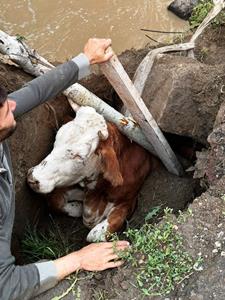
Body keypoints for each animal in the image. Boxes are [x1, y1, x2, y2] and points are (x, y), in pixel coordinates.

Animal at [27, 106, 155, 243]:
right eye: (57, 138)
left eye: (79, 156)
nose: (33, 178)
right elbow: (54, 200)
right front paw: (77, 207)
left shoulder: (130, 199)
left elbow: (97, 234)